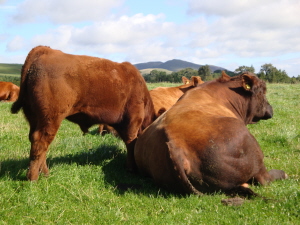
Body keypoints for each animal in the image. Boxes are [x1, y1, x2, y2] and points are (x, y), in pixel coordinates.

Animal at [10, 45, 156, 181]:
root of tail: (45, 50)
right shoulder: (133, 120)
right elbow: (131, 142)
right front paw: (132, 168)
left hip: (34, 117)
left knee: (36, 142)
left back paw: (44, 173)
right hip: (50, 118)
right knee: (40, 141)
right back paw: (33, 177)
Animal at [135, 71, 288, 196]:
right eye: (263, 91)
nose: (270, 109)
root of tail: (174, 143)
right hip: (253, 152)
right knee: (264, 178)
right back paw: (283, 174)